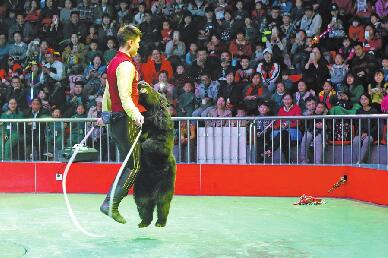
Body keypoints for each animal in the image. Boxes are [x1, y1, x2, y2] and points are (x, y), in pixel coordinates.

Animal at [133, 81, 176, 228]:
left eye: (153, 88)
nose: (142, 82)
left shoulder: (163, 128)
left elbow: (158, 144)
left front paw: (145, 144)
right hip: (141, 184)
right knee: (143, 203)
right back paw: (144, 222)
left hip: (165, 180)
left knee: (163, 201)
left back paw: (160, 222)